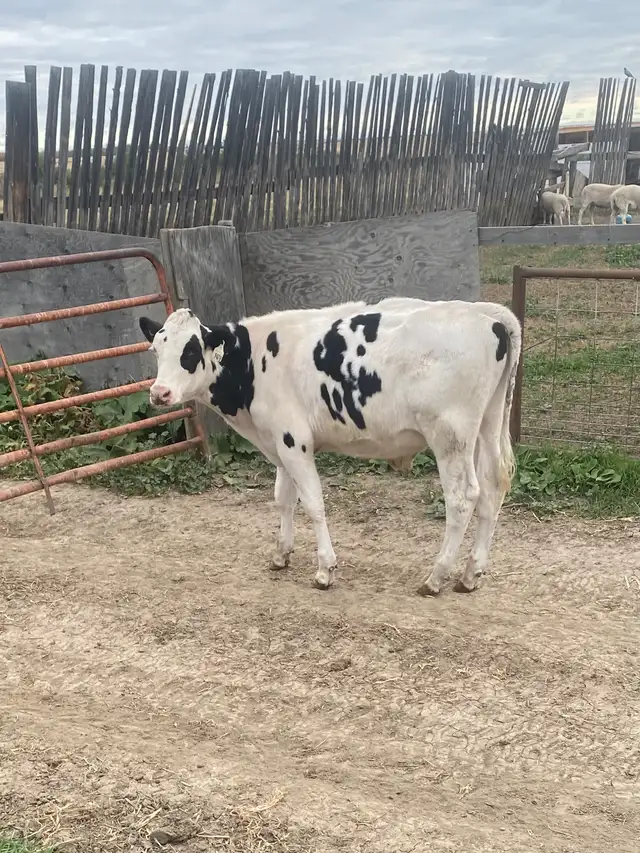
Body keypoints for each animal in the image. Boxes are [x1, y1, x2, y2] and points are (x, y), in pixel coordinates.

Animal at [139, 296, 522, 596]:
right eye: (156, 348)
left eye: (190, 351)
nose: (159, 393)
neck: (255, 361)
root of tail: (484, 314)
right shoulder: (279, 442)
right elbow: (283, 499)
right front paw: (281, 554)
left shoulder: (294, 441)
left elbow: (313, 503)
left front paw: (324, 569)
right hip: (486, 427)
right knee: (492, 490)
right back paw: (471, 574)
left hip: (450, 436)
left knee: (463, 498)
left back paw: (436, 576)